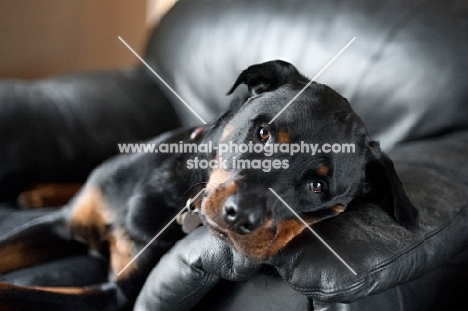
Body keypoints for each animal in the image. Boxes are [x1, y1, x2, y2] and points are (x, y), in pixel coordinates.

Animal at [0, 59, 418, 310]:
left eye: (318, 187)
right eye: (263, 133)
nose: (239, 216)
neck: (178, 194)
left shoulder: (115, 296)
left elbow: (18, 291)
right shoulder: (58, 226)